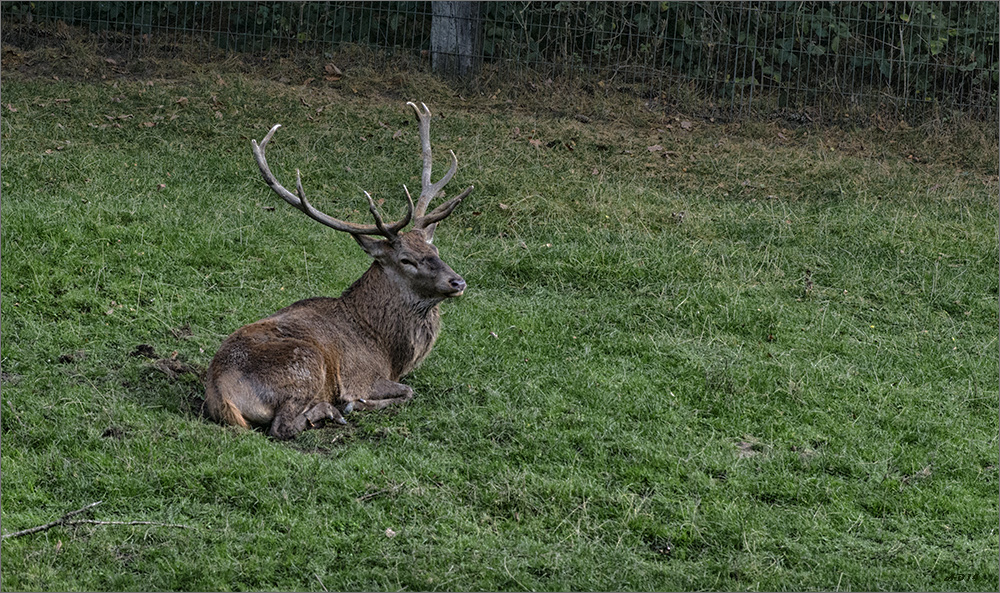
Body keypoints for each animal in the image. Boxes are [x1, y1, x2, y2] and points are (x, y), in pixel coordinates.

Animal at [205, 102, 474, 438]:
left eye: (434, 250)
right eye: (406, 260)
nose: (457, 282)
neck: (388, 349)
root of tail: (221, 392)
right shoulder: (362, 377)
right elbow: (406, 392)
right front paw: (353, 404)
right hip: (306, 363)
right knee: (282, 427)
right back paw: (328, 411)